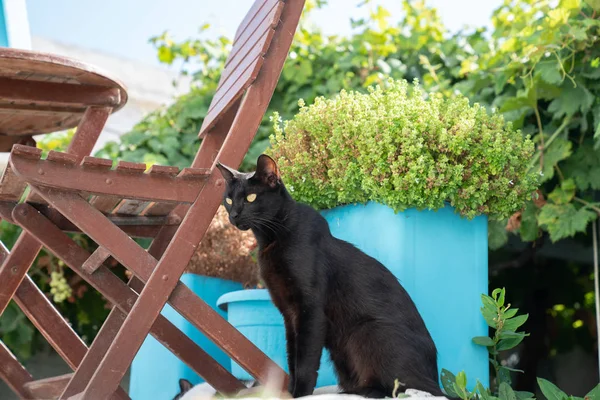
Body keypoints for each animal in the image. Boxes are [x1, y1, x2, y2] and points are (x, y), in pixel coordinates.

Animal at [216, 155, 446, 398]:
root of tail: (435, 379)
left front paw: (301, 394)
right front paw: (291, 392)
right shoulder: (289, 314)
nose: (233, 215)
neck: (271, 239)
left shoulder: (311, 310)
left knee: (397, 388)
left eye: (250, 198)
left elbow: (305, 360)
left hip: (368, 331)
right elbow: (292, 357)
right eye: (228, 200)